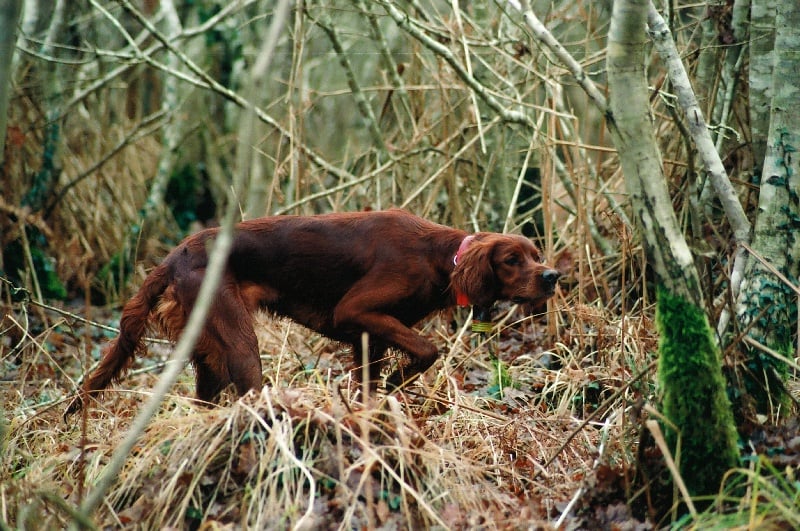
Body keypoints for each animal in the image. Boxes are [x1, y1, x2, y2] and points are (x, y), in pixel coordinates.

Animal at [66, 209, 560, 415]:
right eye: (512, 260)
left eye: (536, 255)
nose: (553, 276)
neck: (439, 256)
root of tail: (175, 256)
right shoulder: (354, 312)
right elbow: (427, 348)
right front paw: (400, 382)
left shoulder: (370, 337)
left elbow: (372, 381)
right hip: (239, 342)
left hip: (209, 350)